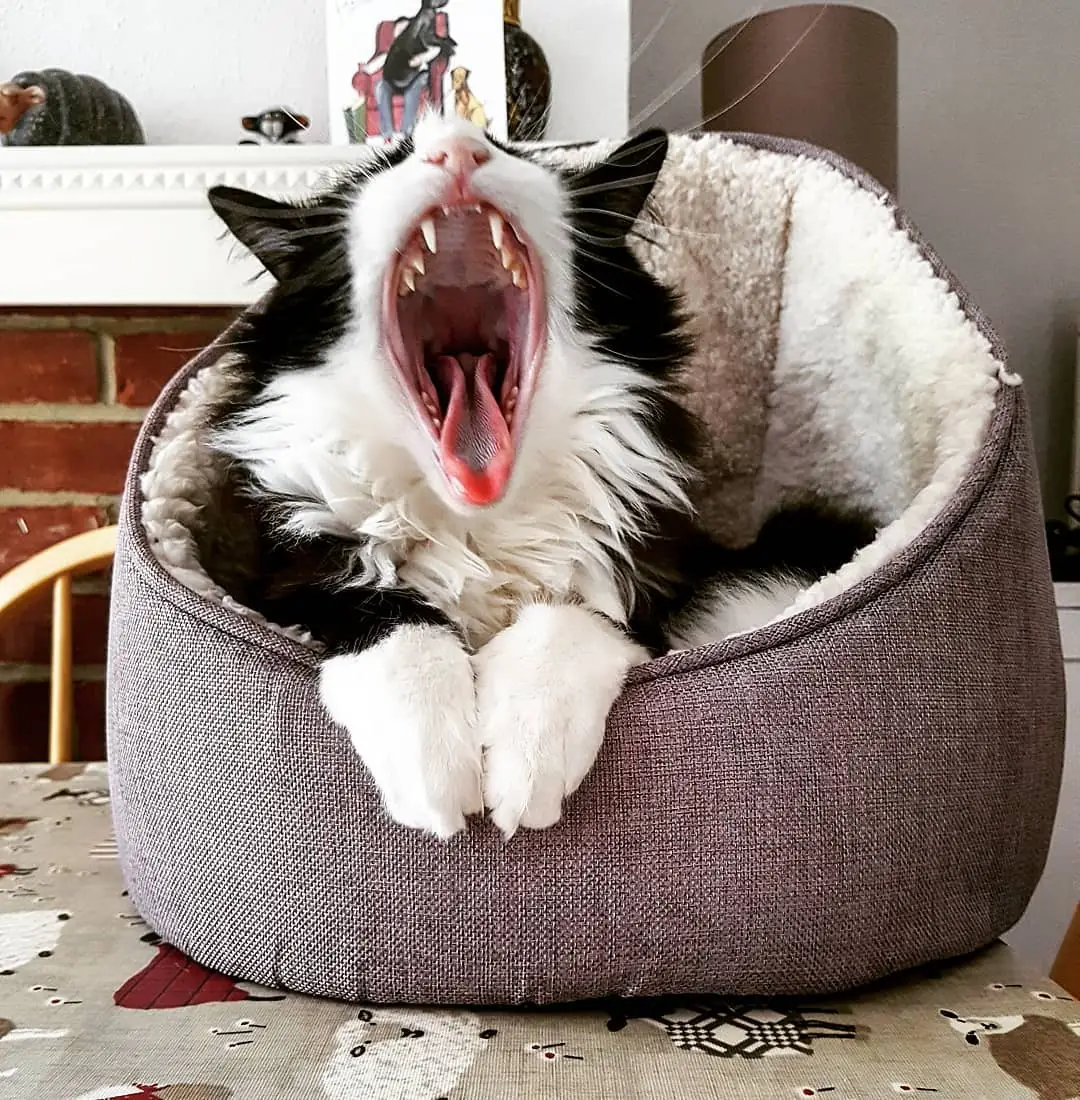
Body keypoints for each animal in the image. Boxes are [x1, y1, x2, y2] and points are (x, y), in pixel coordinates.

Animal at [206, 113, 872, 840]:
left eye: (506, 149)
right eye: (388, 161)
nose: (456, 143)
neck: (481, 527)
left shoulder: (658, 572)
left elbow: (573, 617)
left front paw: (527, 759)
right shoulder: (282, 574)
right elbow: (384, 614)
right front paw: (431, 763)